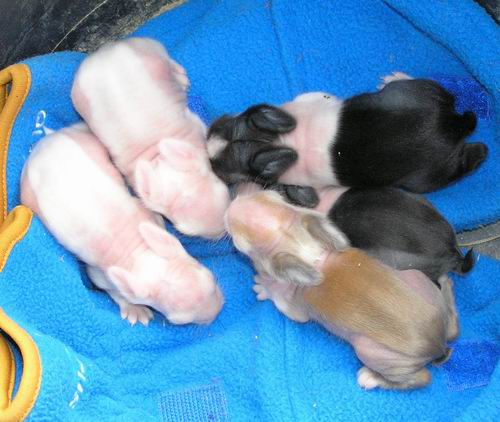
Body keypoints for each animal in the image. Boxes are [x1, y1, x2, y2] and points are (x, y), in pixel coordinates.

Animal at [21, 123, 223, 325]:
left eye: (212, 279)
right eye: (180, 321)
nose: (219, 309)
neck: (141, 254)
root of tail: (44, 144)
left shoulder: (147, 216)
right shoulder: (101, 275)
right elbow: (116, 293)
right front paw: (135, 309)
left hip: (85, 139)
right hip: (27, 193)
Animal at [71, 37, 230, 239]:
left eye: (218, 182)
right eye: (183, 230)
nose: (222, 229)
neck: (159, 158)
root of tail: (103, 51)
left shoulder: (196, 126)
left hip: (150, 49)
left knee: (167, 61)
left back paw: (181, 78)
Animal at [208, 72, 487, 194]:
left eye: (224, 172)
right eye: (222, 125)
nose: (207, 140)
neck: (281, 140)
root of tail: (453, 123)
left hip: (427, 178)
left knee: (467, 161)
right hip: (426, 91)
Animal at [225, 190, 455, 390]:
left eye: (240, 241)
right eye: (271, 195)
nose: (232, 205)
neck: (308, 253)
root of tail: (438, 344)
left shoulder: (296, 309)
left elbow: (283, 303)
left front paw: (264, 286)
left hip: (372, 352)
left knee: (421, 379)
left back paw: (371, 377)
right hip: (415, 278)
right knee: (453, 330)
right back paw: (447, 285)